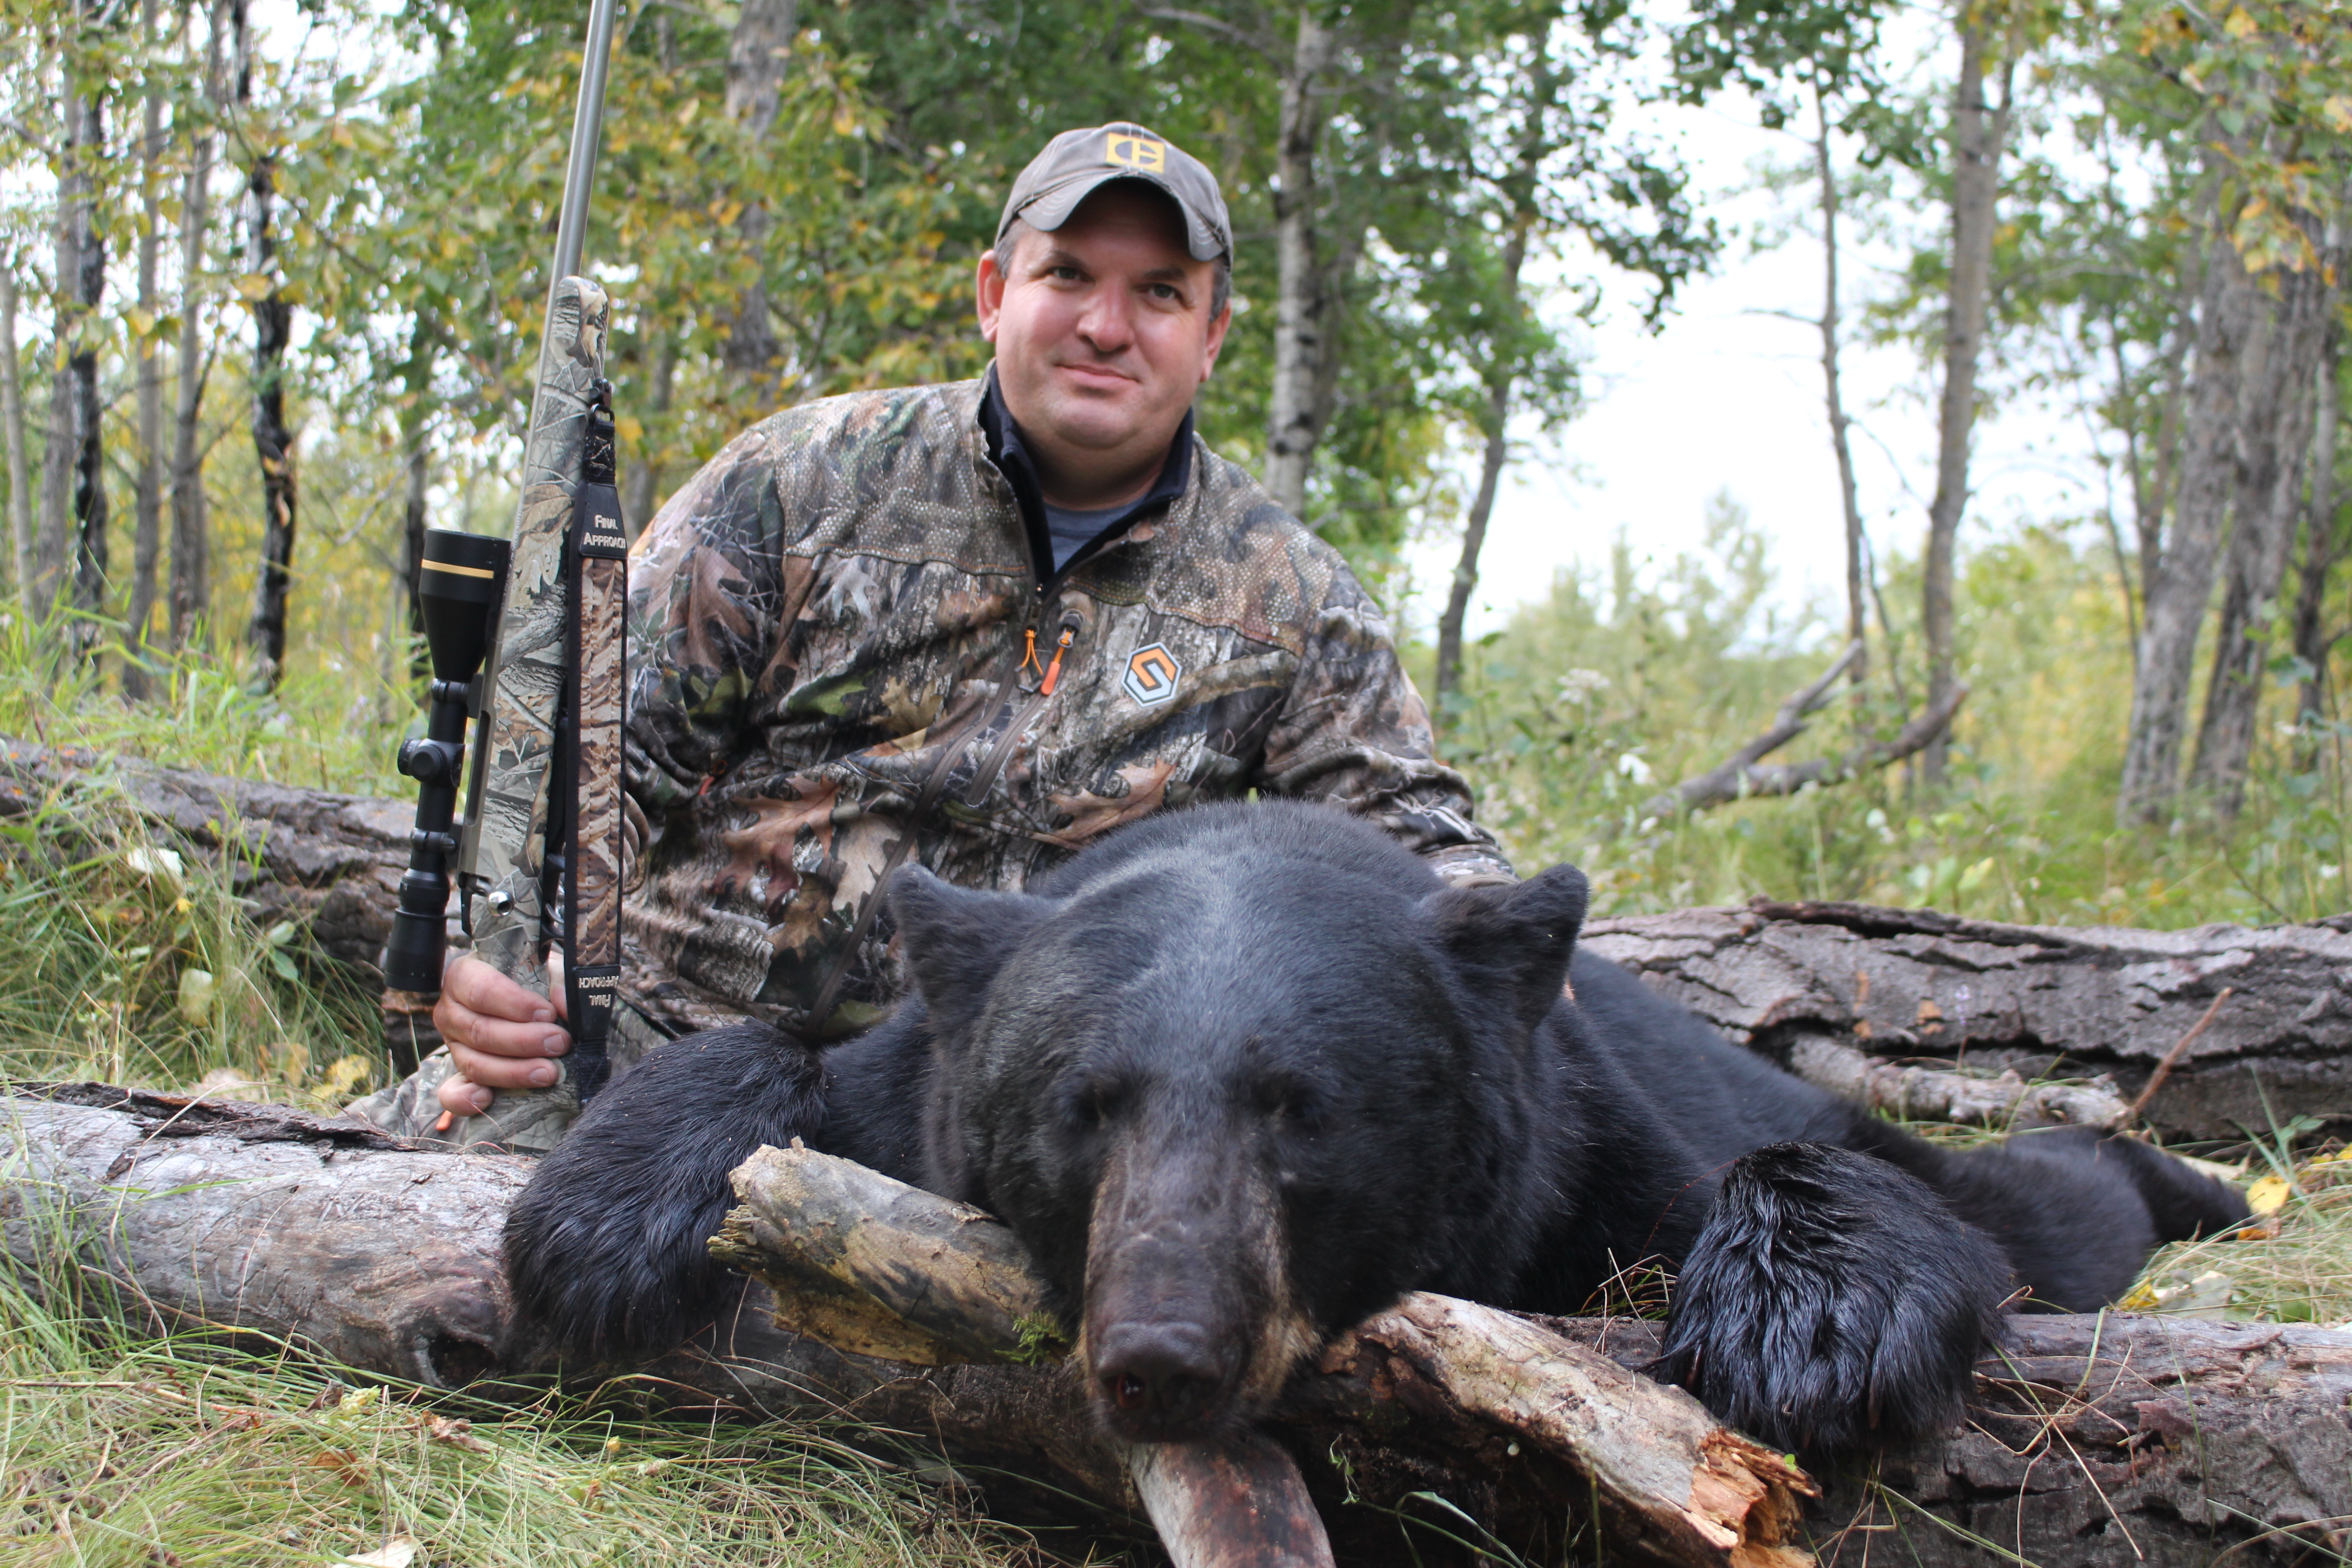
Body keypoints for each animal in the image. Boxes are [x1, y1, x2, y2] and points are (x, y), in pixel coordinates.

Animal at [503, 800, 2247, 1454]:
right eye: (1082, 1108)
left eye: (1306, 1113)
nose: (1162, 1352)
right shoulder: (922, 1065)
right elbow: (780, 1055)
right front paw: (598, 1223)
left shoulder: (1592, 1141)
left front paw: (1811, 1325)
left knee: (2030, 1201)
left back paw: (2205, 1178)